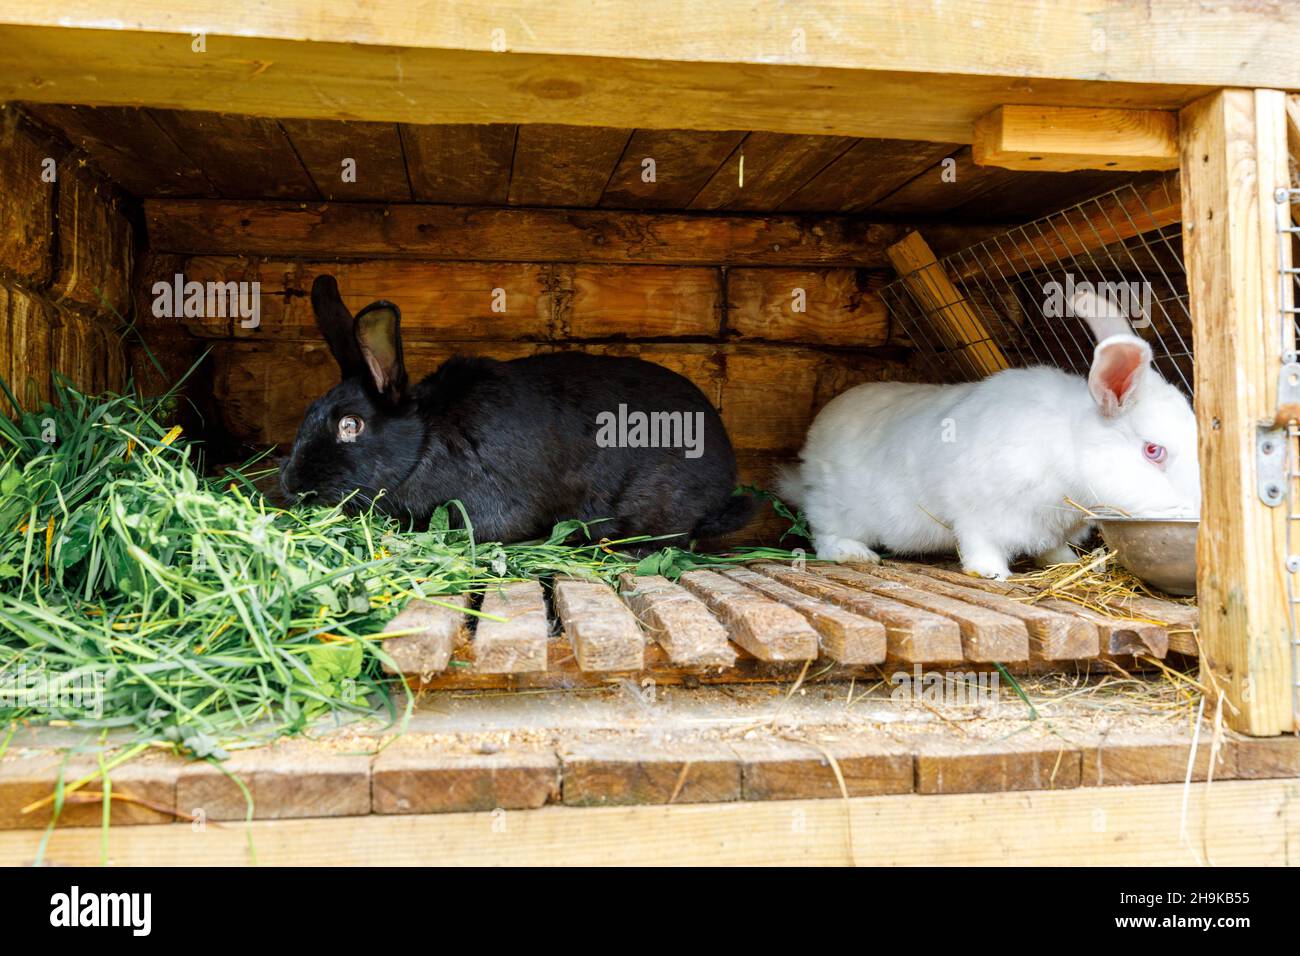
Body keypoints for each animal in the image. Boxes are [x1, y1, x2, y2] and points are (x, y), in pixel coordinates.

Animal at [778, 287, 1199, 579]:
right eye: (1153, 451)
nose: (1195, 508)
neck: (1067, 444)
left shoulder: (1051, 528)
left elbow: (1052, 549)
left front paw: (1064, 562)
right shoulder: (977, 511)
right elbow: (980, 543)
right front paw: (992, 572)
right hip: (838, 508)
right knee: (824, 535)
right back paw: (856, 553)